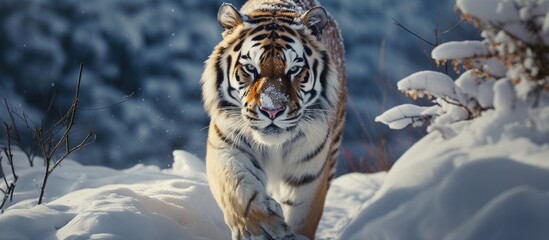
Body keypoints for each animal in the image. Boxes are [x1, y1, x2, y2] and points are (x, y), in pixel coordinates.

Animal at [201, 0, 344, 239]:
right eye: (250, 68)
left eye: (294, 69)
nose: (272, 110)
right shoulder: (226, 147)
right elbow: (237, 189)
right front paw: (261, 226)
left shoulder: (308, 174)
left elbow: (301, 219)